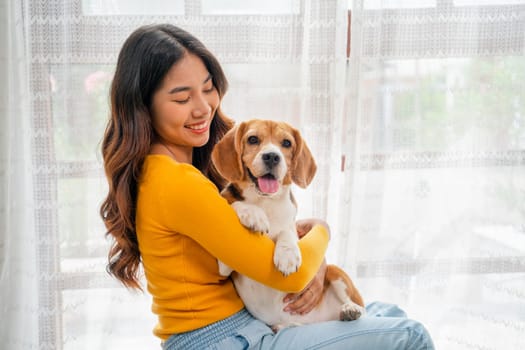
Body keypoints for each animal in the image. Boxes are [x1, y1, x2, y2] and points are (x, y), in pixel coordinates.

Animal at [209, 119, 364, 330]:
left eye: (287, 143)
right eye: (252, 139)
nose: (272, 157)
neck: (265, 201)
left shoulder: (292, 228)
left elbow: (287, 232)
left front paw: (287, 253)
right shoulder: (223, 268)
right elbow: (235, 203)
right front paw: (253, 214)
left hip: (336, 272)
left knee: (362, 308)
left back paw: (350, 309)